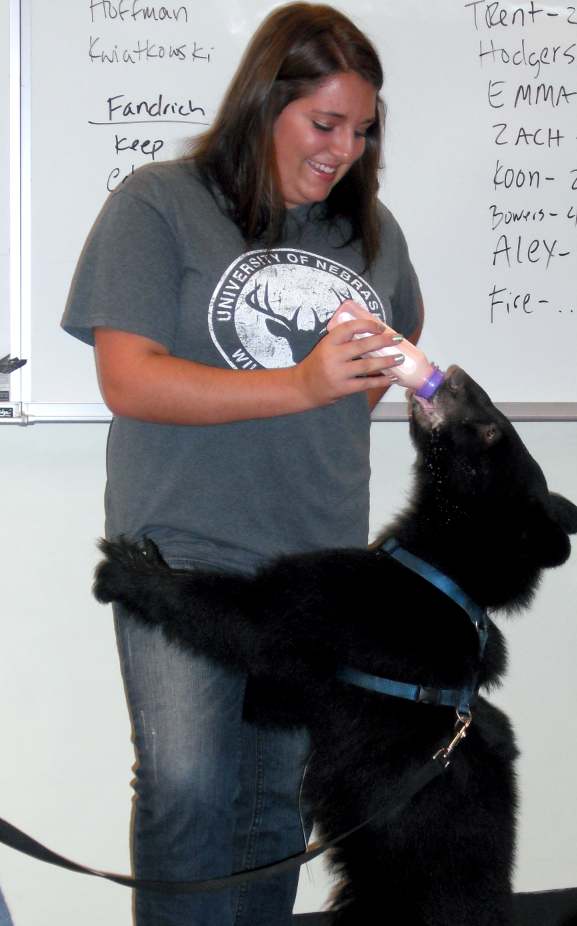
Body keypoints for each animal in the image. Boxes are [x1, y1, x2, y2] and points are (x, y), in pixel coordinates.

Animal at [94, 370, 577, 926]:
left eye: (494, 432)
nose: (455, 376)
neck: (445, 568)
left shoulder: (350, 609)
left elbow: (254, 619)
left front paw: (131, 570)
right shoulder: (324, 679)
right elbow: (280, 690)